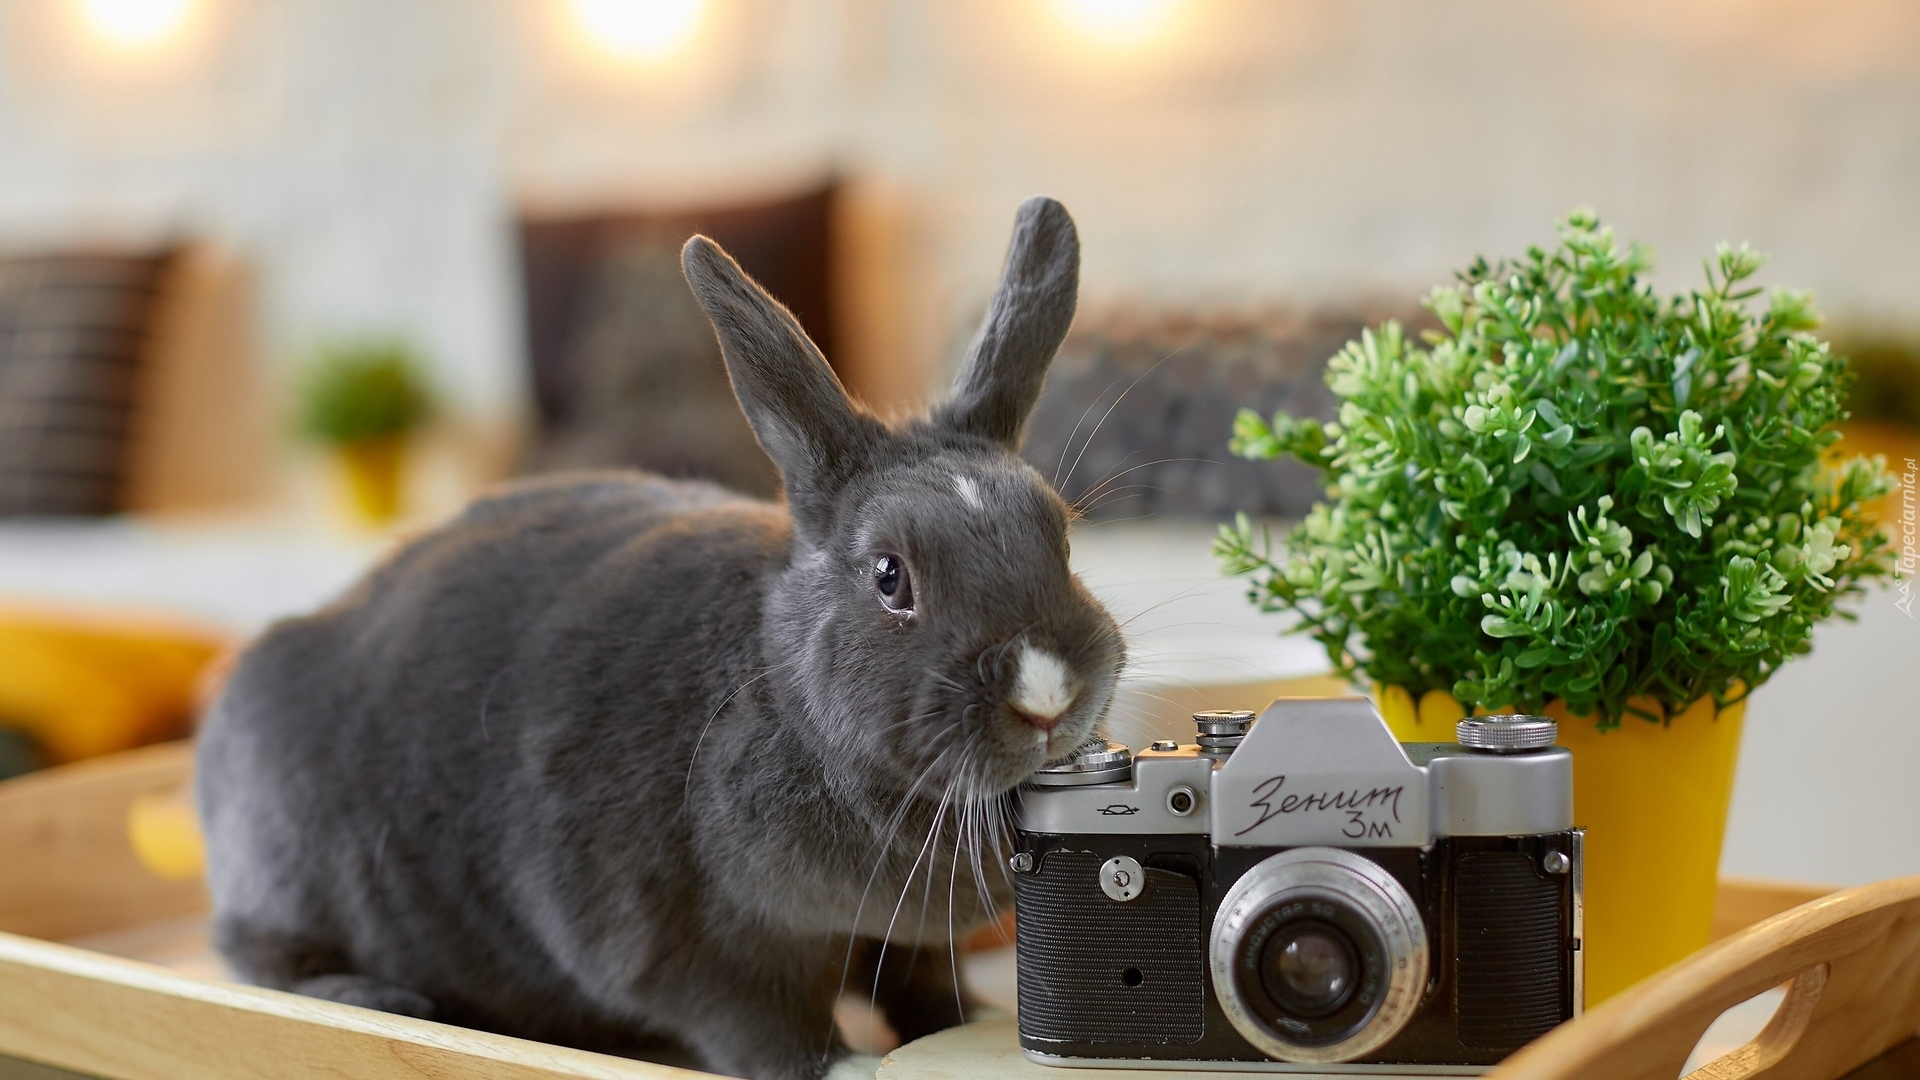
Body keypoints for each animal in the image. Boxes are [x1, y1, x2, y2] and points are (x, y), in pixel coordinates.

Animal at [194, 195, 1121, 1076]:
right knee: (257, 956)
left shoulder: (893, 935)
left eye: (1062, 539)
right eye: (891, 576)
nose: (1046, 693)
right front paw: (852, 1065)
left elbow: (921, 983)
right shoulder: (682, 940)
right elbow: (760, 1025)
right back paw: (385, 999)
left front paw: (975, 1026)